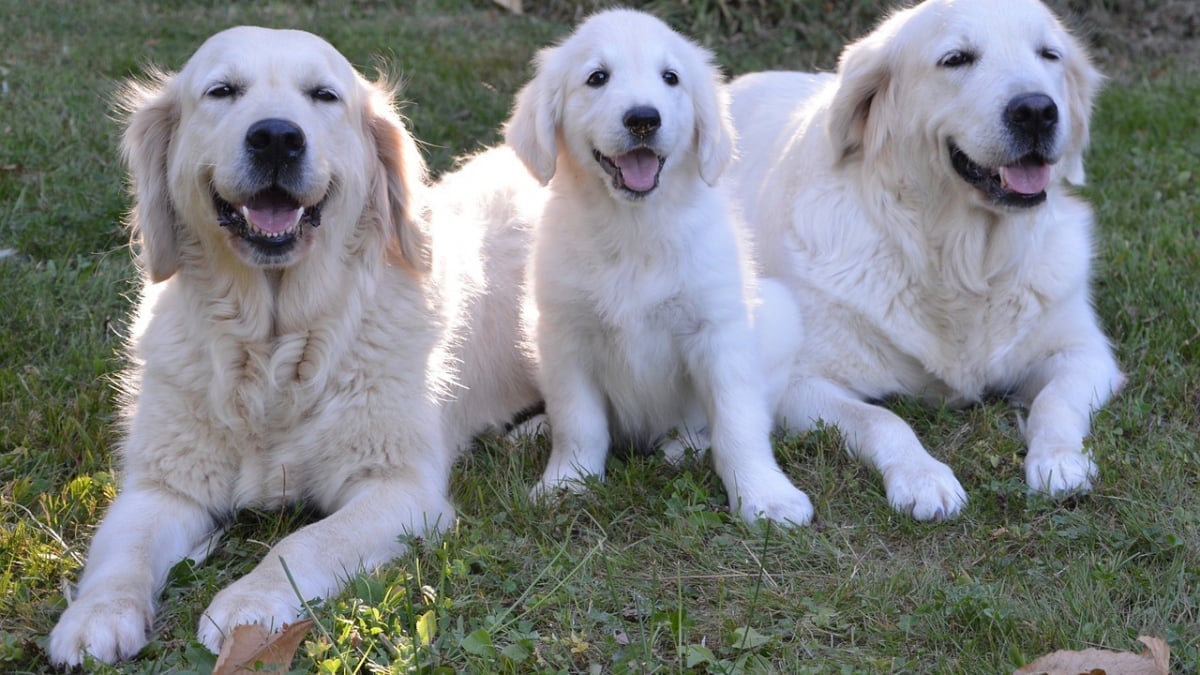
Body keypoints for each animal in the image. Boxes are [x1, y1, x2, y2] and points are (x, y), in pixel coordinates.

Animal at [45, 26, 535, 662]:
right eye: (222, 91)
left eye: (323, 95)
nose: (277, 137)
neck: (276, 345)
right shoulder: (162, 484)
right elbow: (123, 550)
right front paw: (95, 615)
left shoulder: (400, 488)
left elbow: (304, 542)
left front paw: (248, 604)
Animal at [501, 9, 811, 526]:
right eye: (597, 77)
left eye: (671, 78)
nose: (644, 119)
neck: (635, 228)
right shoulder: (565, 335)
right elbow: (578, 422)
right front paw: (566, 483)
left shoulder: (719, 331)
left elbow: (739, 422)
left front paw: (766, 495)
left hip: (781, 316)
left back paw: (684, 447)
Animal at [720, 0, 1123, 521]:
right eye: (956, 59)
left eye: (1048, 55)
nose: (1036, 110)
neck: (959, 260)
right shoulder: (798, 382)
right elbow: (881, 418)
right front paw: (924, 478)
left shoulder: (1085, 353)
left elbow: (1054, 402)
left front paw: (1059, 460)